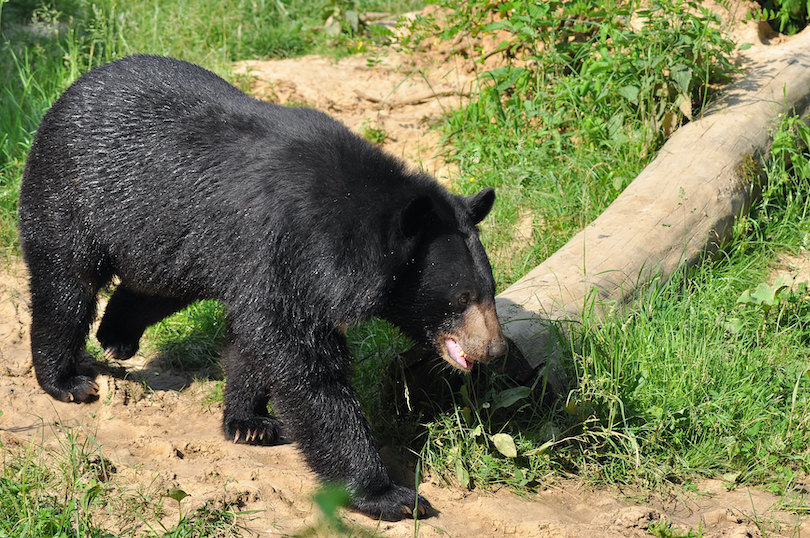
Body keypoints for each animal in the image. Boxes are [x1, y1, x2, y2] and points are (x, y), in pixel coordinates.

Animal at [19, 54, 504, 520]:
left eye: (489, 289)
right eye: (460, 298)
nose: (495, 350)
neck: (347, 231)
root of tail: (71, 91)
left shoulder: (278, 268)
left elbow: (256, 341)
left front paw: (249, 421)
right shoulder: (285, 245)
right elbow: (301, 361)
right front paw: (390, 496)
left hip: (171, 235)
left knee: (156, 286)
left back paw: (116, 336)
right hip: (72, 191)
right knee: (66, 285)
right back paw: (67, 380)